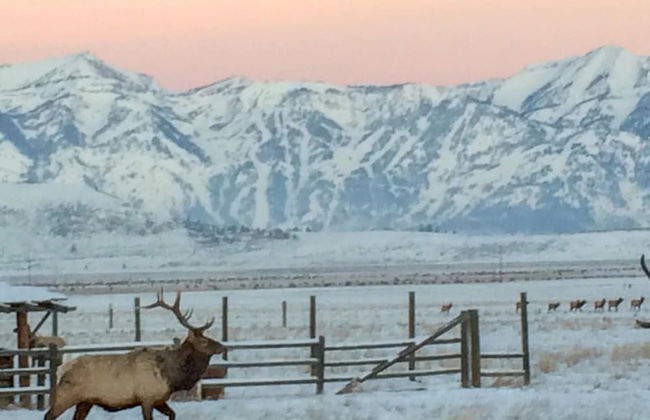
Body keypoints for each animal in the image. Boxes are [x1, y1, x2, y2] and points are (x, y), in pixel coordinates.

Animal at [44, 290, 225, 420]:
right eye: (204, 341)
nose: (223, 347)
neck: (171, 376)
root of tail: (61, 369)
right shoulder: (147, 398)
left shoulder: (159, 399)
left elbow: (173, 414)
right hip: (66, 395)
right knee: (48, 415)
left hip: (85, 401)